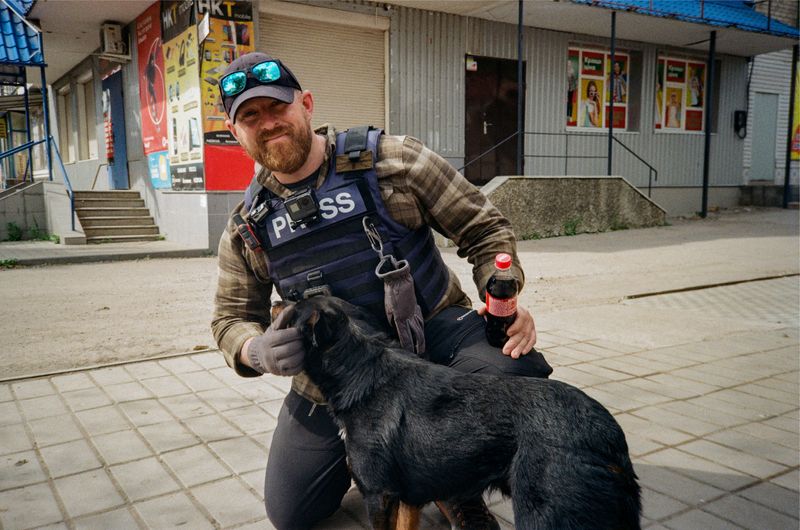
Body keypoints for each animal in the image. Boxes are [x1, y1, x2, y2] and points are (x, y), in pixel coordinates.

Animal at [282, 294, 644, 524]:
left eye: (291, 312)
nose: (276, 301)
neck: (360, 369)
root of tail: (609, 436)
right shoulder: (406, 499)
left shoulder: (378, 495)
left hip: (546, 513)